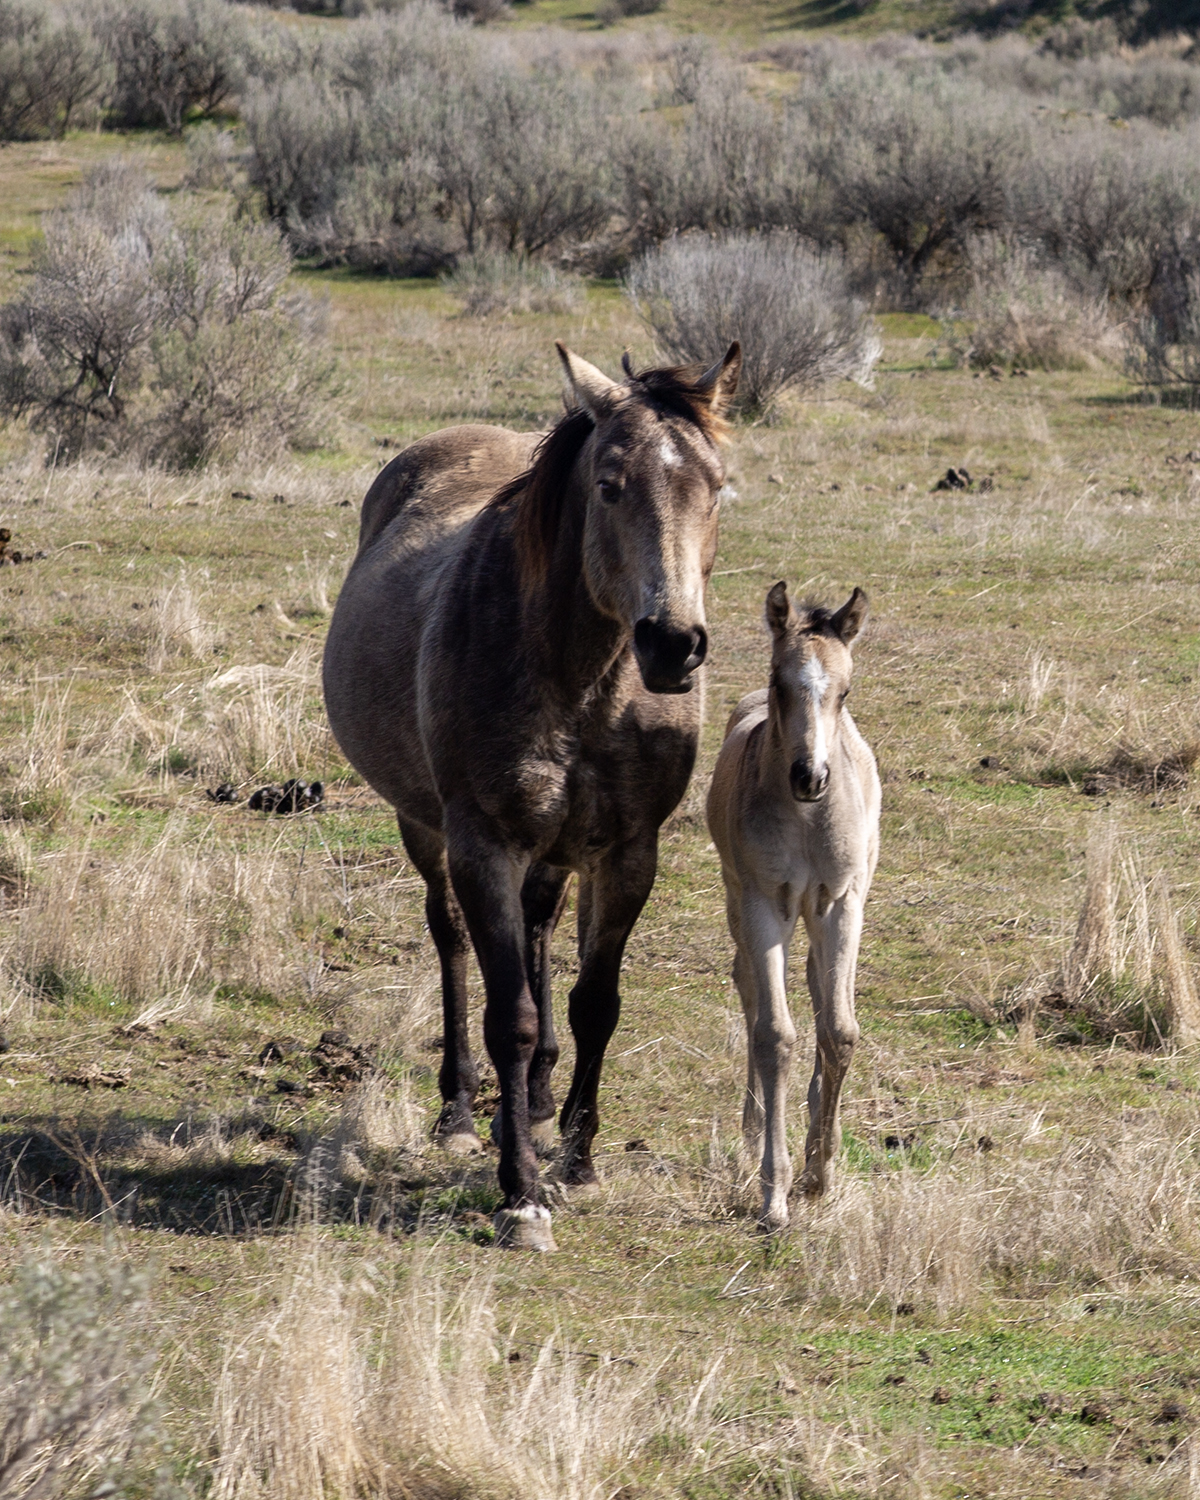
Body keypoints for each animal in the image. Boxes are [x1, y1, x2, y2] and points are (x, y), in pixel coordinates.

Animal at [323, 341, 741, 1250]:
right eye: (611, 484)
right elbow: (507, 1014)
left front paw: (577, 1159)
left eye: (718, 486)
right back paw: (457, 1110)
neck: (581, 679)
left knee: (544, 929)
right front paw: (520, 1192)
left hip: (557, 850)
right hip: (425, 827)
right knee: (448, 939)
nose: (674, 644)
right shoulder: (484, 844)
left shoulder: (627, 851)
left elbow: (595, 1004)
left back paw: (544, 1101)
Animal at [705, 581, 880, 1230]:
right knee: (750, 989)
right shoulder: (764, 905)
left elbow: (839, 1030)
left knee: (816, 983)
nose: (812, 776)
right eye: (781, 683)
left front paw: (820, 1171)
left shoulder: (843, 903)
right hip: (738, 899)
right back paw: (755, 1131)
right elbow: (775, 1035)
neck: (806, 819)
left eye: (845, 691)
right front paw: (774, 1192)